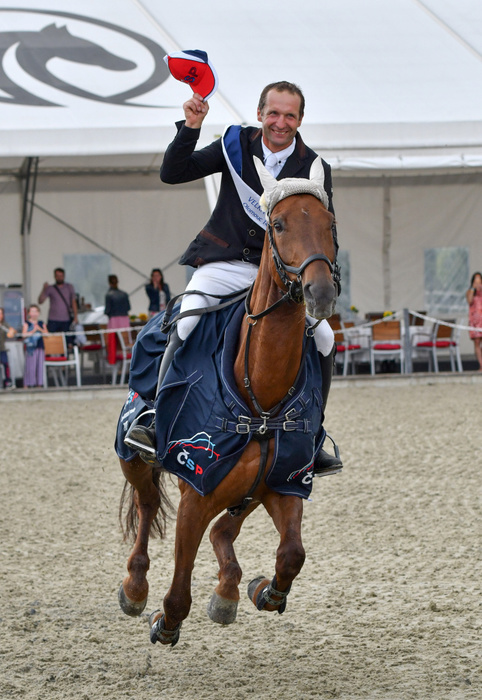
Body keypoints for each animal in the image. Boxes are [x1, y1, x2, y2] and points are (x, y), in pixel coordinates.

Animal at [117, 158, 339, 647]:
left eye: (330, 224)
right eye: (278, 224)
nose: (320, 293)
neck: (262, 395)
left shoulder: (287, 481)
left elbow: (292, 554)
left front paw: (264, 591)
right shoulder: (195, 493)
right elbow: (179, 584)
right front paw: (165, 622)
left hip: (249, 487)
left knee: (224, 528)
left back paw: (229, 590)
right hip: (132, 457)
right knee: (147, 507)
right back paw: (135, 588)